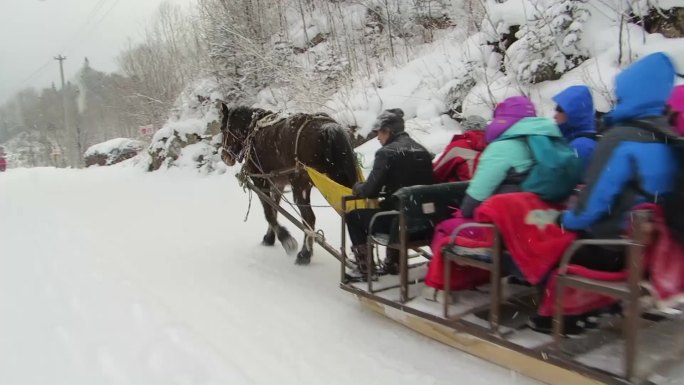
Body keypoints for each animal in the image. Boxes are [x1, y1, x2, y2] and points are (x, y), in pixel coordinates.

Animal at [220, 102, 360, 264]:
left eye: (222, 129)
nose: (224, 156)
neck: (251, 131)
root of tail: (328, 128)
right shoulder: (277, 183)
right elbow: (275, 209)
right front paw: (270, 238)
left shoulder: (260, 181)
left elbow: (269, 212)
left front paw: (286, 239)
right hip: (340, 179)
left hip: (301, 185)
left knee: (309, 218)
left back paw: (304, 254)